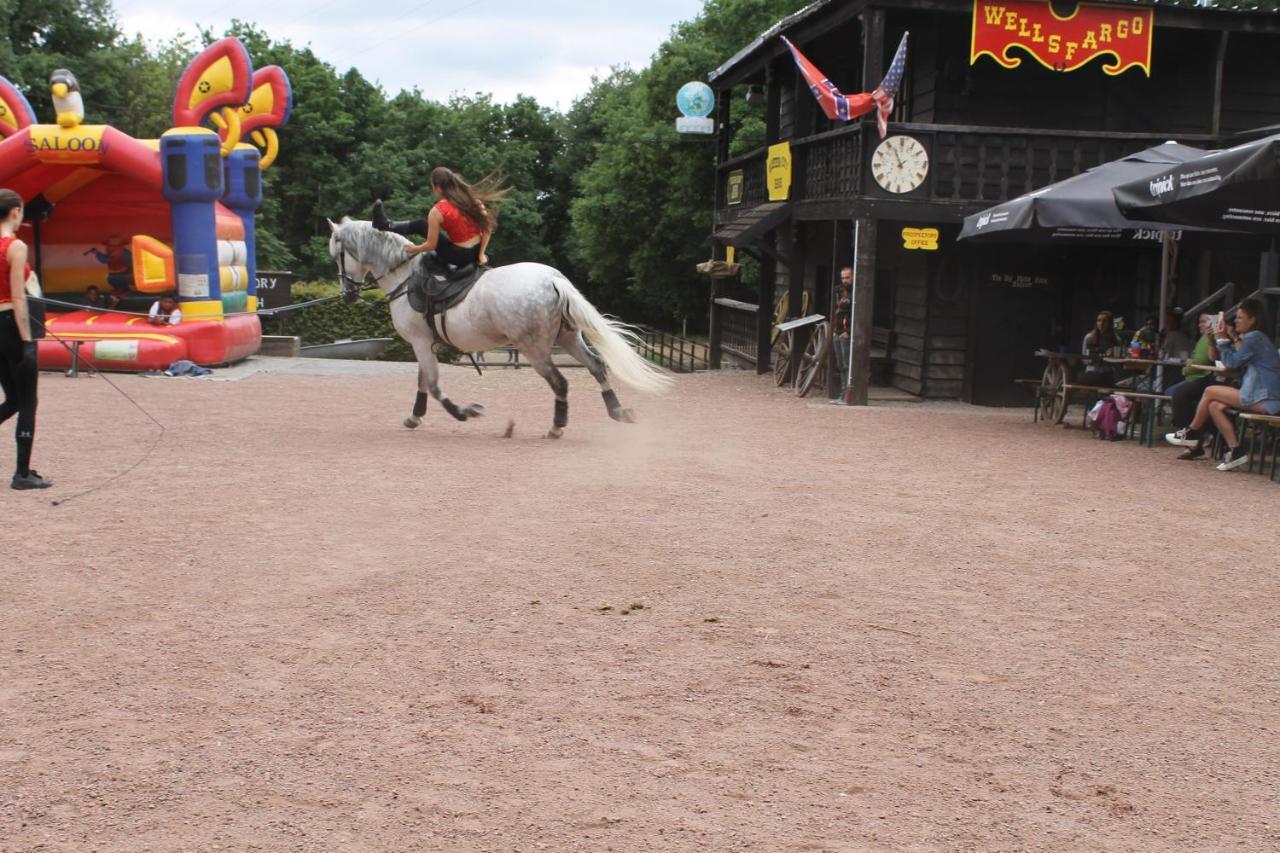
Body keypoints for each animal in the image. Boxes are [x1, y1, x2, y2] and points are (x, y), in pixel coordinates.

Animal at [327, 216, 670, 435]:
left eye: (337, 256)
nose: (347, 293)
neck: (406, 277)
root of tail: (553, 279)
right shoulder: (424, 344)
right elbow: (423, 382)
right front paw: (415, 417)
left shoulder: (420, 343)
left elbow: (434, 386)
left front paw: (465, 412)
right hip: (568, 338)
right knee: (597, 367)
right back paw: (618, 411)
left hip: (535, 350)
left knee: (560, 382)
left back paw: (556, 427)